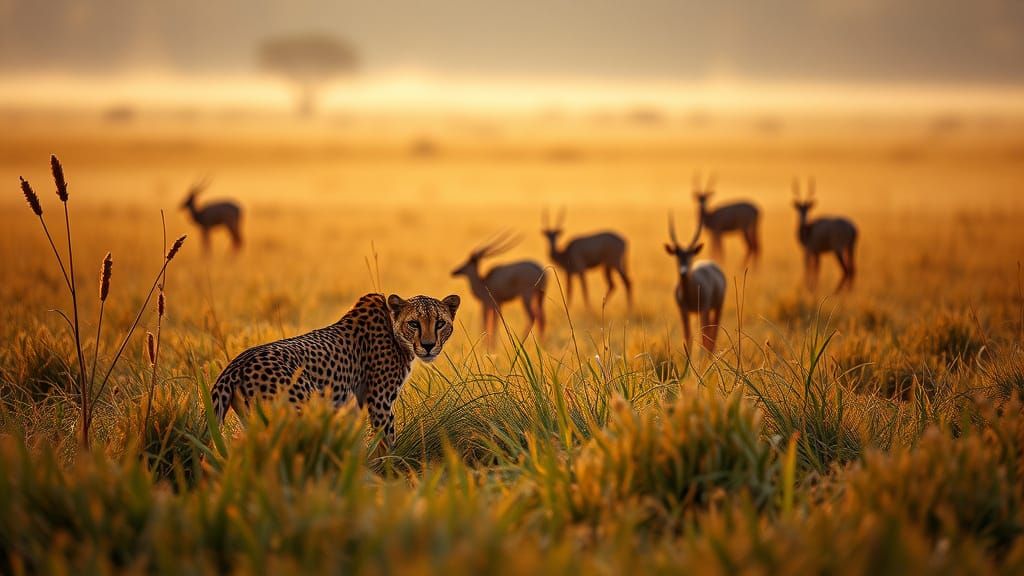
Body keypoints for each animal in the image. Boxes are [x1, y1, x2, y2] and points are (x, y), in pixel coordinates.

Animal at [208, 292, 460, 448]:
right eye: (414, 323)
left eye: (440, 323)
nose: (428, 345)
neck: (394, 330)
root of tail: (236, 364)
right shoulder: (379, 402)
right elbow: (386, 442)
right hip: (301, 410)